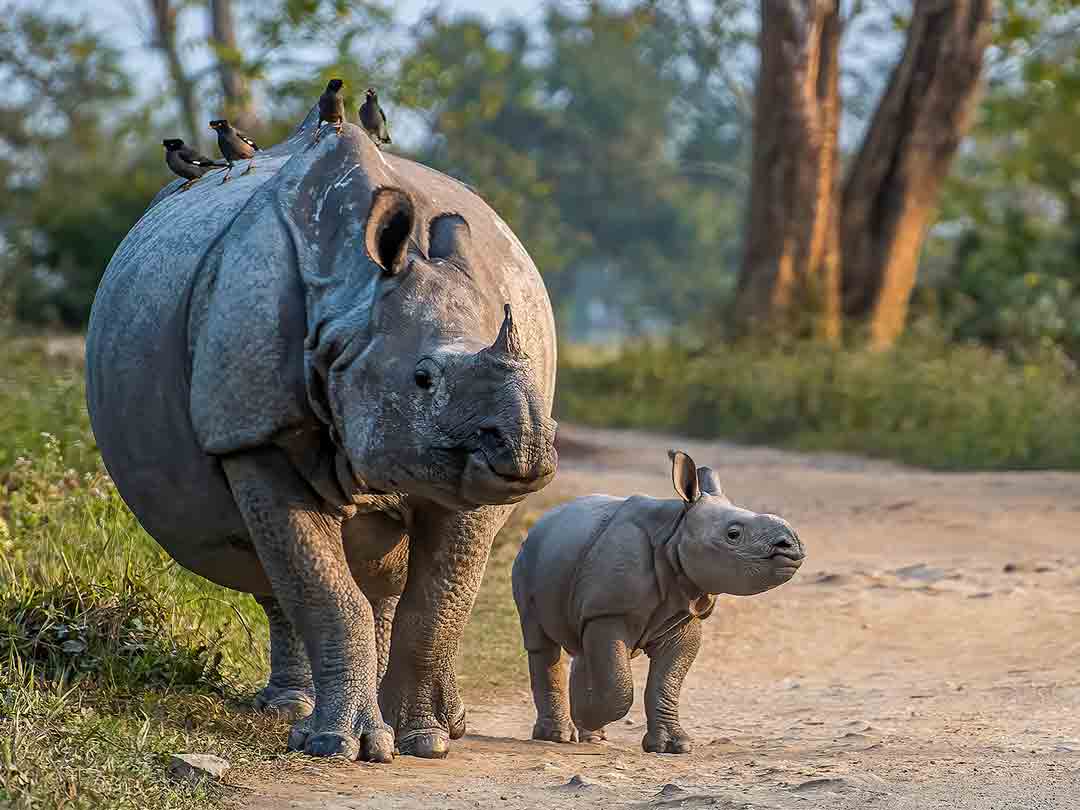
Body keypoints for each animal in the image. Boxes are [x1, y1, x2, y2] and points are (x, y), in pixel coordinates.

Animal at [511, 451, 803, 756]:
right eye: (733, 534)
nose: (790, 546)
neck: (674, 532)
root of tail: (545, 519)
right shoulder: (609, 611)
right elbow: (620, 686)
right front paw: (588, 713)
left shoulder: (684, 611)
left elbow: (667, 681)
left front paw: (673, 746)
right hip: (528, 555)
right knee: (541, 642)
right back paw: (558, 735)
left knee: (583, 646)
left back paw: (593, 737)